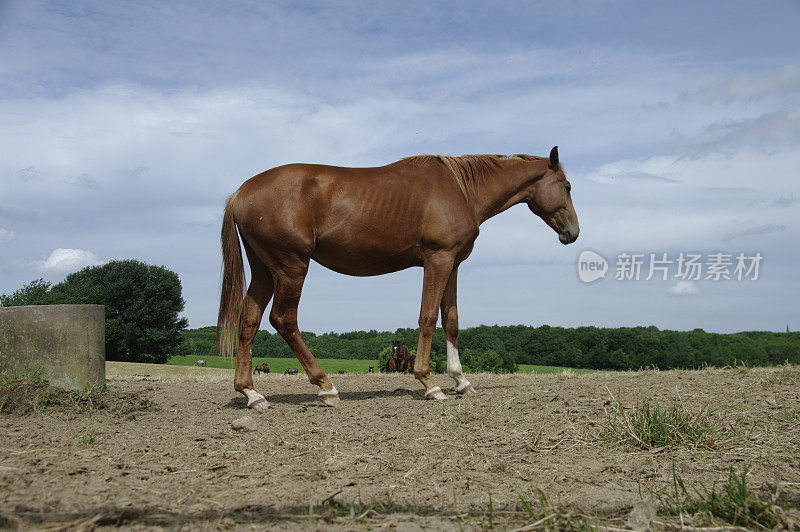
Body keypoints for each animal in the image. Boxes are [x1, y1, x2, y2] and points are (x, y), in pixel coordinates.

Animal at [220, 143, 580, 410]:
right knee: (284, 319)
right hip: (291, 266)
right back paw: (326, 387)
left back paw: (252, 394)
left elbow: (451, 320)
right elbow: (428, 317)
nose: (573, 232)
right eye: (566, 186)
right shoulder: (438, 259)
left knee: (249, 320)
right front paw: (430, 384)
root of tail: (240, 193)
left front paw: (461, 381)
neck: (460, 189)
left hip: (265, 269)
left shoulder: (453, 264)